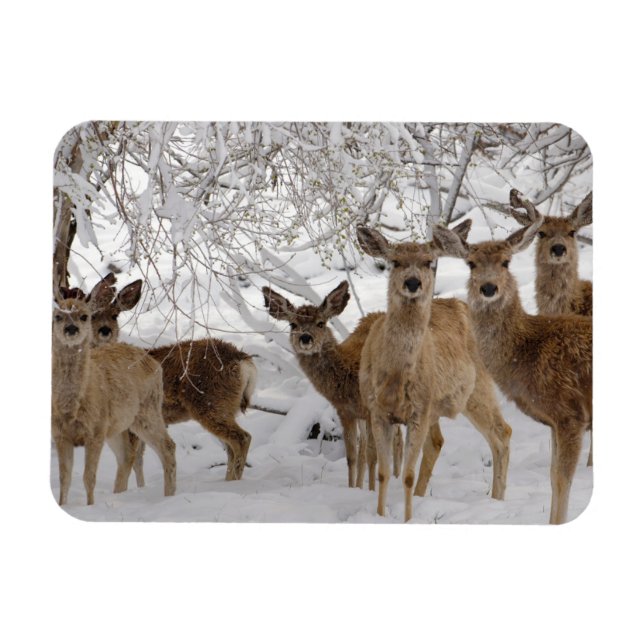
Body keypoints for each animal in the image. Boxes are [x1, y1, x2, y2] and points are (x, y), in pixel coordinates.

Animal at [52, 282, 176, 505]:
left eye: (84, 316)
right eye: (58, 316)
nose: (71, 329)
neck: (71, 407)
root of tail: (153, 361)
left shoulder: (96, 430)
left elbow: (88, 478)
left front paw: (90, 507)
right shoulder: (60, 433)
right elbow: (64, 479)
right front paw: (63, 505)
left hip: (147, 410)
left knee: (167, 447)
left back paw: (169, 496)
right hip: (119, 425)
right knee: (126, 456)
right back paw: (120, 495)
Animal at [262, 282, 403, 490]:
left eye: (321, 323)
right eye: (293, 324)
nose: (305, 338)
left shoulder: (372, 410)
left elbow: (373, 455)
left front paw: (371, 490)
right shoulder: (345, 412)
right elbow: (352, 456)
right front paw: (353, 488)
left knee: (398, 439)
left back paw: (397, 477)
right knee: (367, 446)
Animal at [356, 225, 513, 522]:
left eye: (429, 261)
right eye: (395, 261)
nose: (412, 282)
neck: (395, 377)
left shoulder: (419, 410)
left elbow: (406, 474)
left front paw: (408, 519)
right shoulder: (377, 410)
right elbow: (383, 473)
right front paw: (381, 515)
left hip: (476, 388)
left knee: (502, 432)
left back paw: (497, 501)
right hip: (439, 406)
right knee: (439, 442)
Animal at [429, 213, 593, 524]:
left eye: (506, 262)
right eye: (471, 263)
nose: (488, 288)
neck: (529, 349)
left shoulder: (571, 414)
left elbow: (561, 479)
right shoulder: (556, 420)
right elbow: (552, 476)